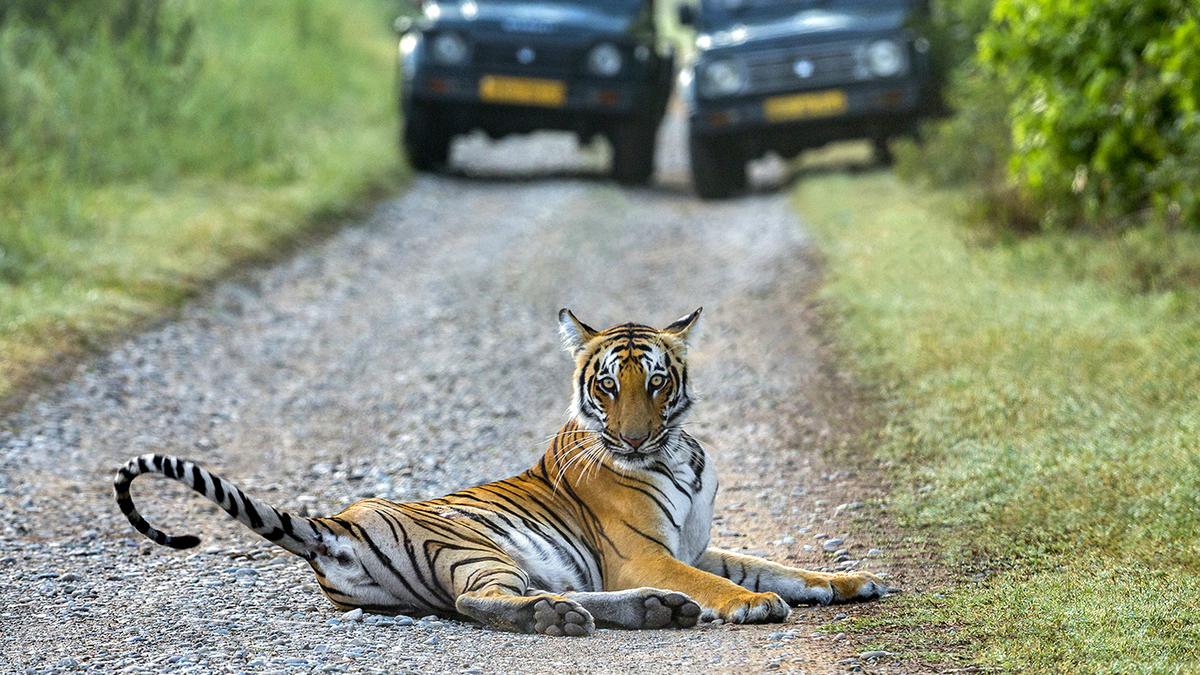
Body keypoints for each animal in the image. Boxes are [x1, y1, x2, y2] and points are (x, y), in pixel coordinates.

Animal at [117, 307, 888, 634]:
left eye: (657, 382)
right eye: (607, 386)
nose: (633, 437)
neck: (677, 452)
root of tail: (337, 523)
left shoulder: (696, 545)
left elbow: (778, 566)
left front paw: (851, 582)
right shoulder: (643, 553)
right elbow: (726, 582)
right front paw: (750, 604)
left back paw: (648, 611)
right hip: (478, 548)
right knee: (475, 603)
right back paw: (572, 617)